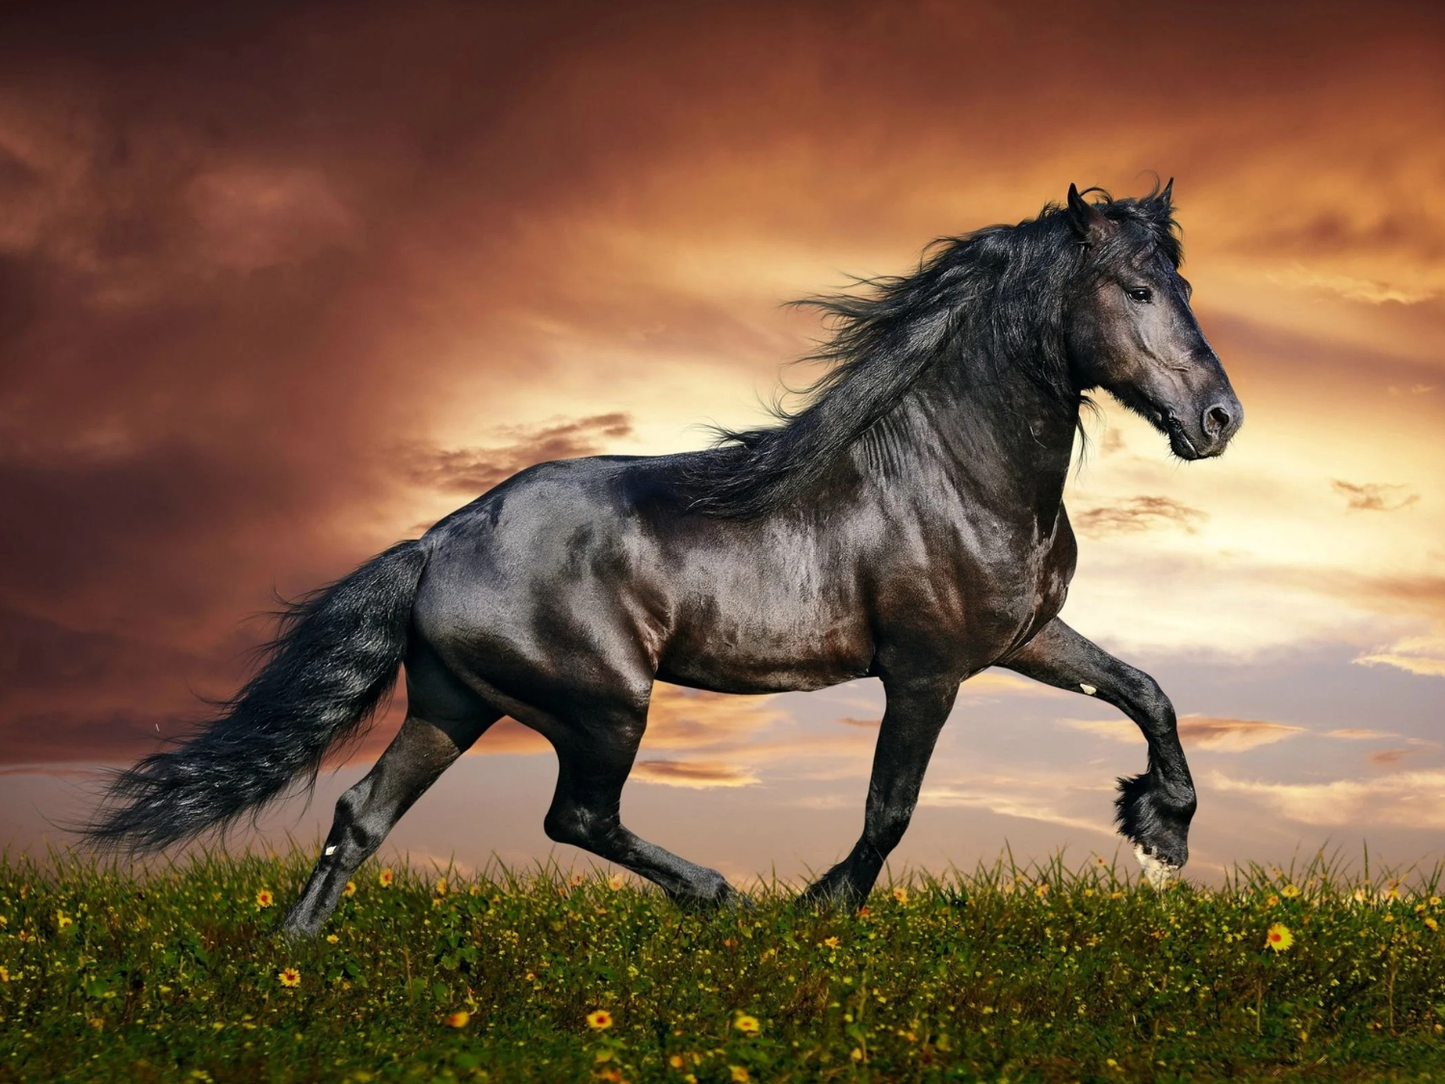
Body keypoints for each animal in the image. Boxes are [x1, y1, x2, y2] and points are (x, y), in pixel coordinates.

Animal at [83, 182, 1242, 937]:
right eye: (1136, 290)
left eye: (1182, 284)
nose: (1218, 419)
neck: (951, 469)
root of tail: (436, 541)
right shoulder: (925, 670)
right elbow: (890, 807)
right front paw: (820, 909)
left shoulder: (1021, 637)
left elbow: (1146, 691)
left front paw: (1161, 830)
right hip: (603, 704)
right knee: (574, 816)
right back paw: (717, 895)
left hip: (454, 703)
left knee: (361, 816)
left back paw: (293, 962)